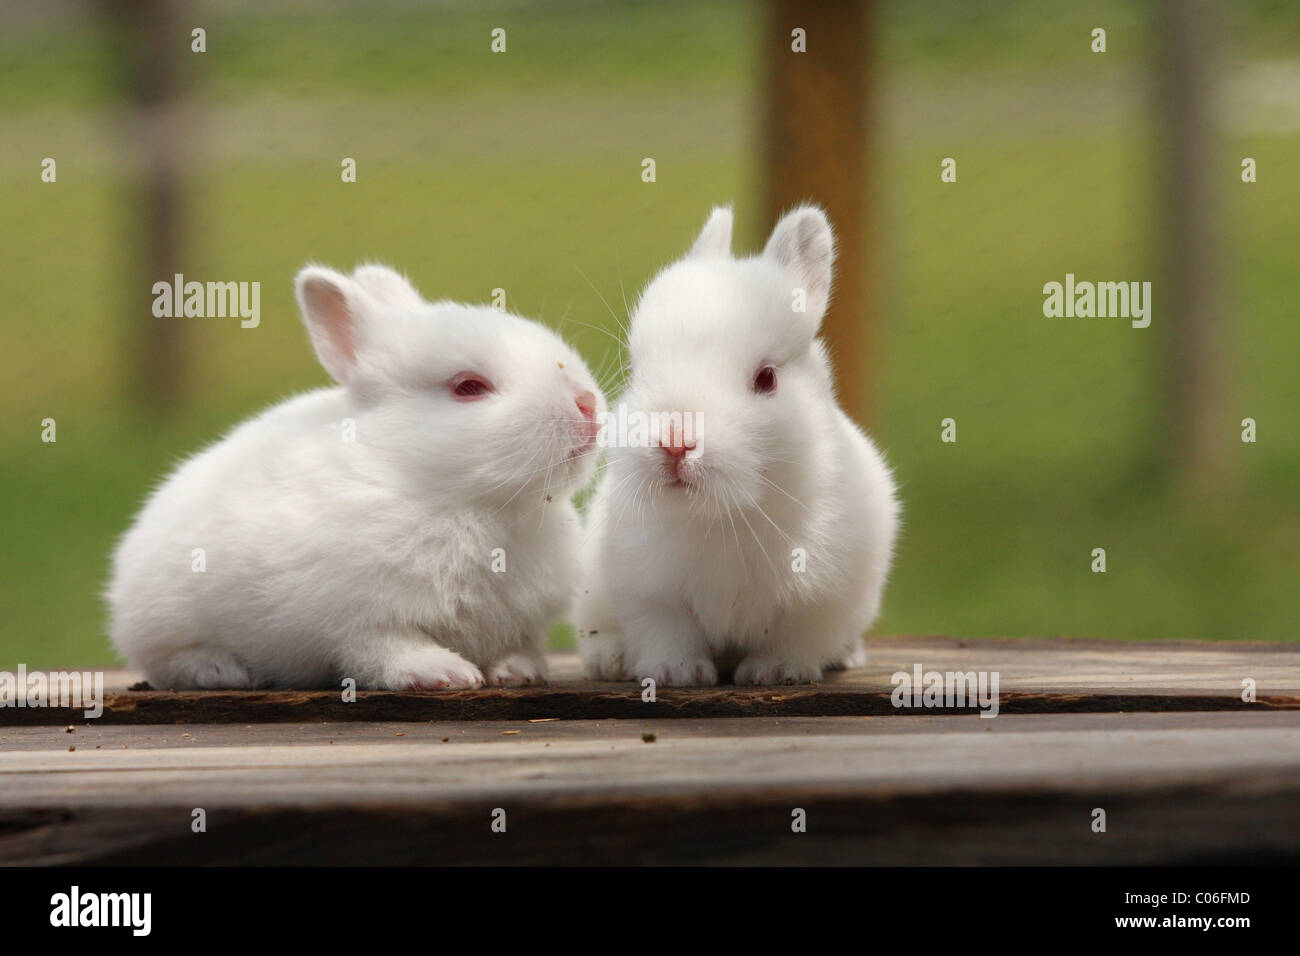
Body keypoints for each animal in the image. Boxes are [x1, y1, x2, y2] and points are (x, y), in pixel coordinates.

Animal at [108, 263, 604, 690]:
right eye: (468, 387)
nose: (588, 406)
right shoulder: (361, 616)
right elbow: (386, 649)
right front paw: (442, 673)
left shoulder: (520, 621)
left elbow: (520, 645)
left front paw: (520, 671)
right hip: (165, 618)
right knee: (168, 660)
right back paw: (221, 671)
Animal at [576, 205, 899, 686]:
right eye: (634, 371)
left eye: (766, 378)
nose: (675, 442)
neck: (724, 514)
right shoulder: (648, 593)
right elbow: (666, 632)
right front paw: (676, 674)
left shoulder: (824, 599)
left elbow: (798, 637)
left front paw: (776, 673)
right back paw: (609, 660)